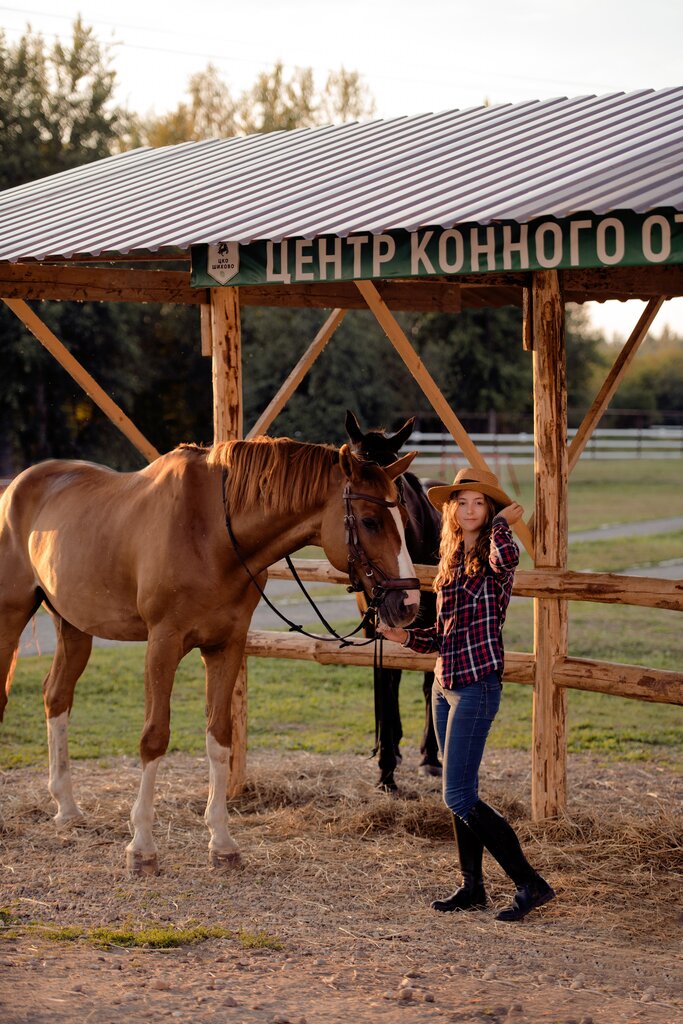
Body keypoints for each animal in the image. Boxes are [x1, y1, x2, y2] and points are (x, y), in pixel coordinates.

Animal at [0, 436, 419, 876]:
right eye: (370, 521)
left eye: (405, 520)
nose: (409, 603)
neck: (212, 533)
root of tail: (15, 487)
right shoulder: (163, 644)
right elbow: (155, 737)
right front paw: (142, 847)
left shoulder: (226, 646)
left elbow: (219, 737)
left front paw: (221, 842)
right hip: (11, 616)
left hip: (73, 626)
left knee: (56, 697)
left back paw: (66, 808)